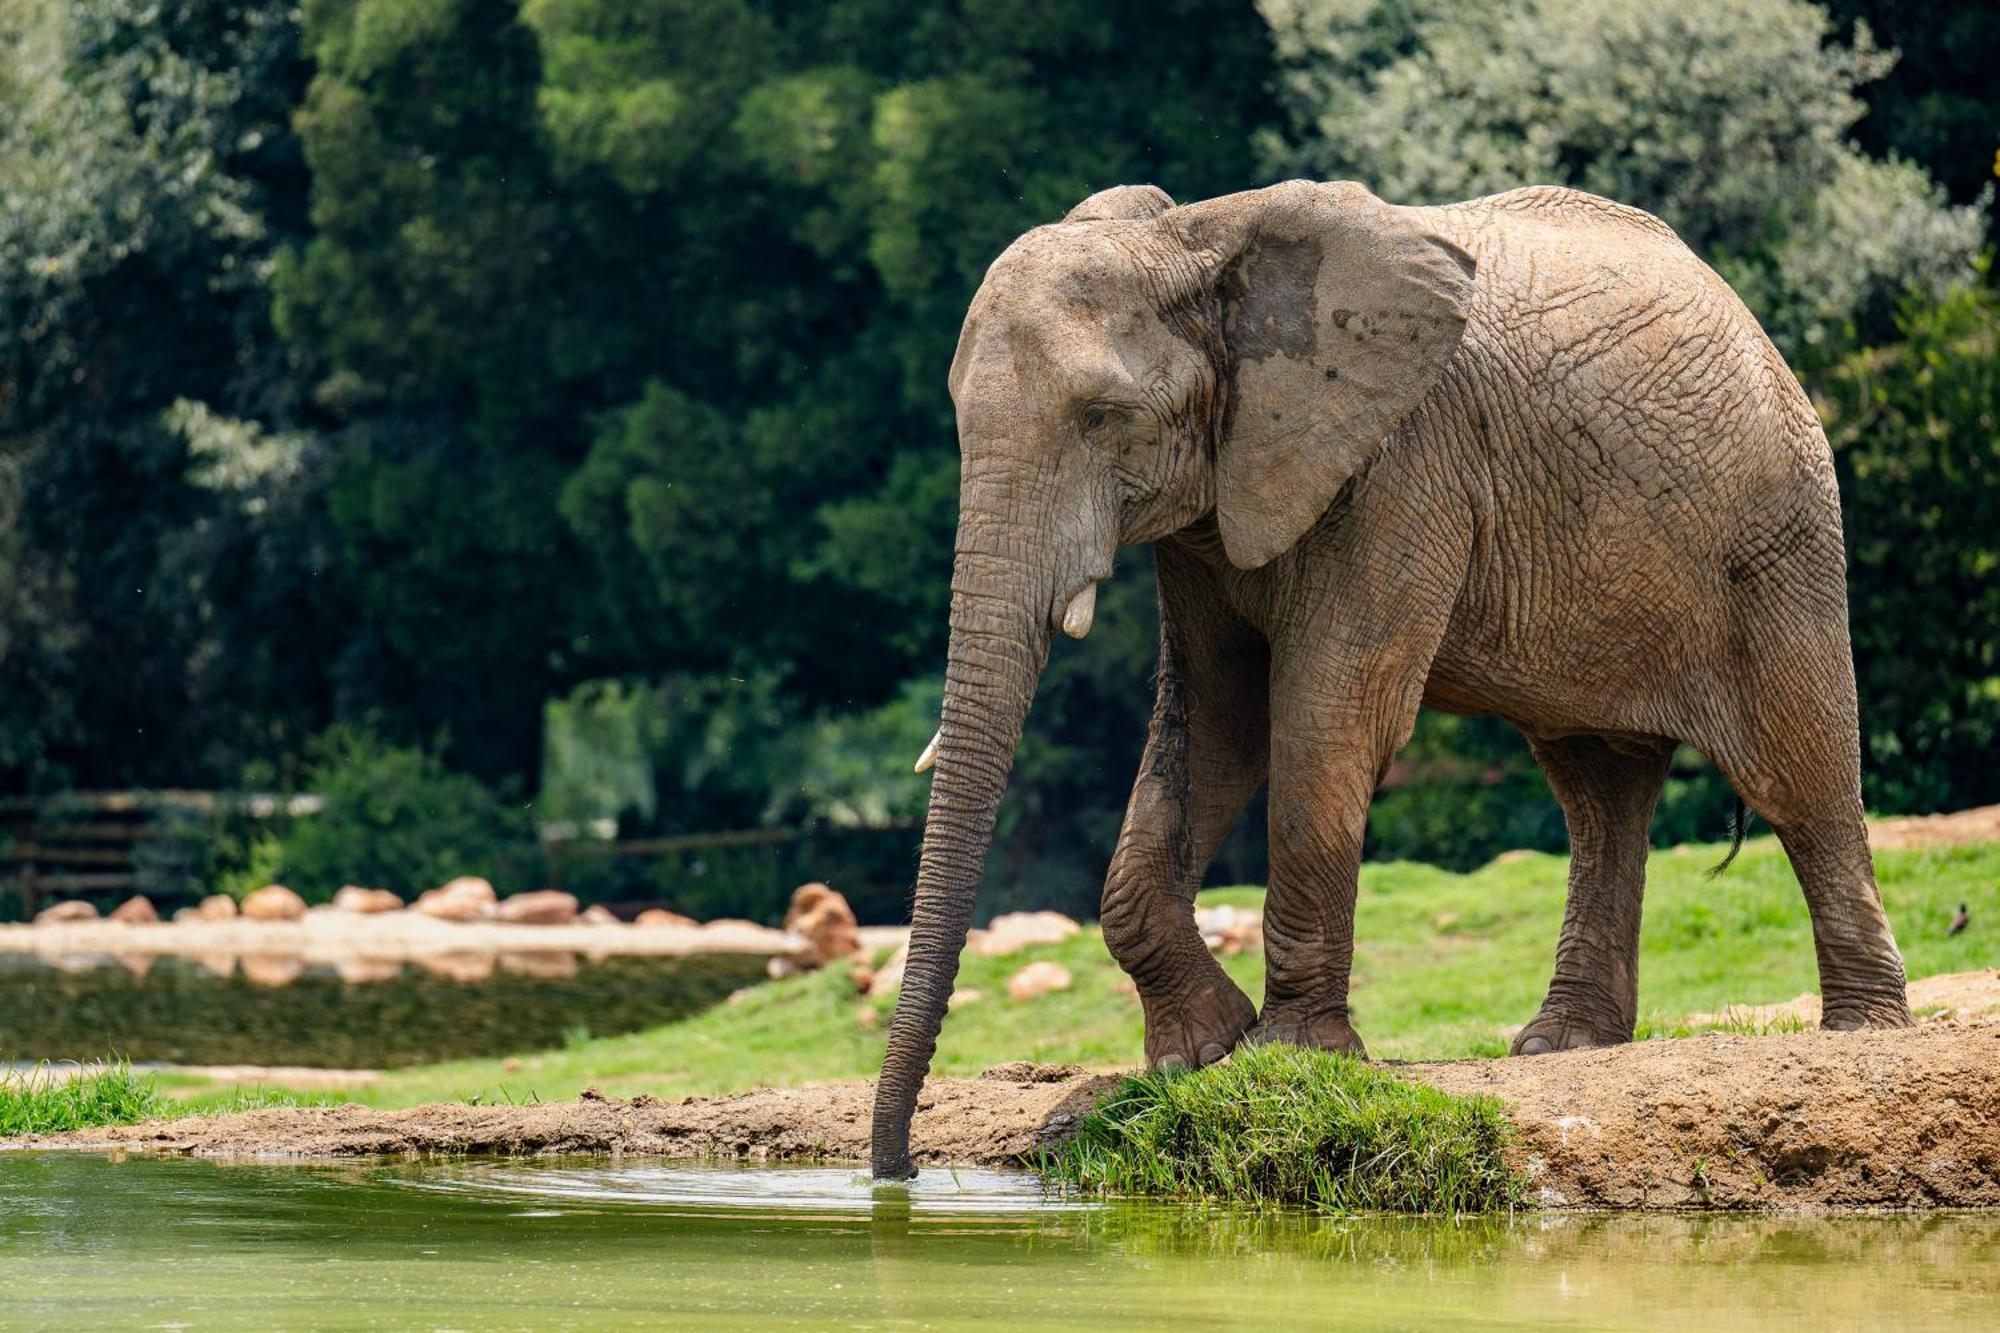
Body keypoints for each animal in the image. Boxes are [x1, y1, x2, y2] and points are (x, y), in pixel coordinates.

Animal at [868, 176, 1912, 1176]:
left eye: (1104, 418)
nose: (899, 1169)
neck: (1200, 242)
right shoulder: (1216, 497)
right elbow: (1215, 721)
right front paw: (1198, 1051)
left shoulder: (1398, 464)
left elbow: (1327, 717)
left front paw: (1286, 1056)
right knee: (1598, 789)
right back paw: (1562, 1045)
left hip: (1777, 534)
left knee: (1799, 774)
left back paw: (1860, 1032)